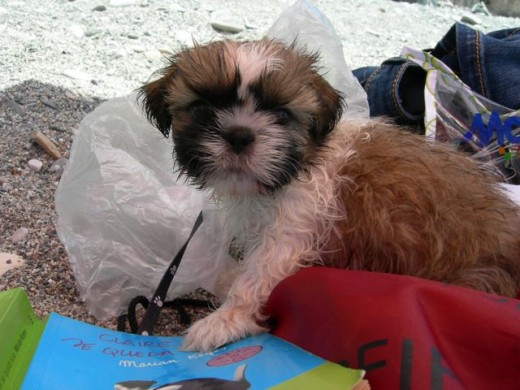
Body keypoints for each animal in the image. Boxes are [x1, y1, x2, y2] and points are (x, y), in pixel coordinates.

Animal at [139, 38, 520, 350]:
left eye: (281, 115)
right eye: (204, 108)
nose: (239, 135)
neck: (302, 163)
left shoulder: (292, 228)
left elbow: (258, 274)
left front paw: (225, 320)